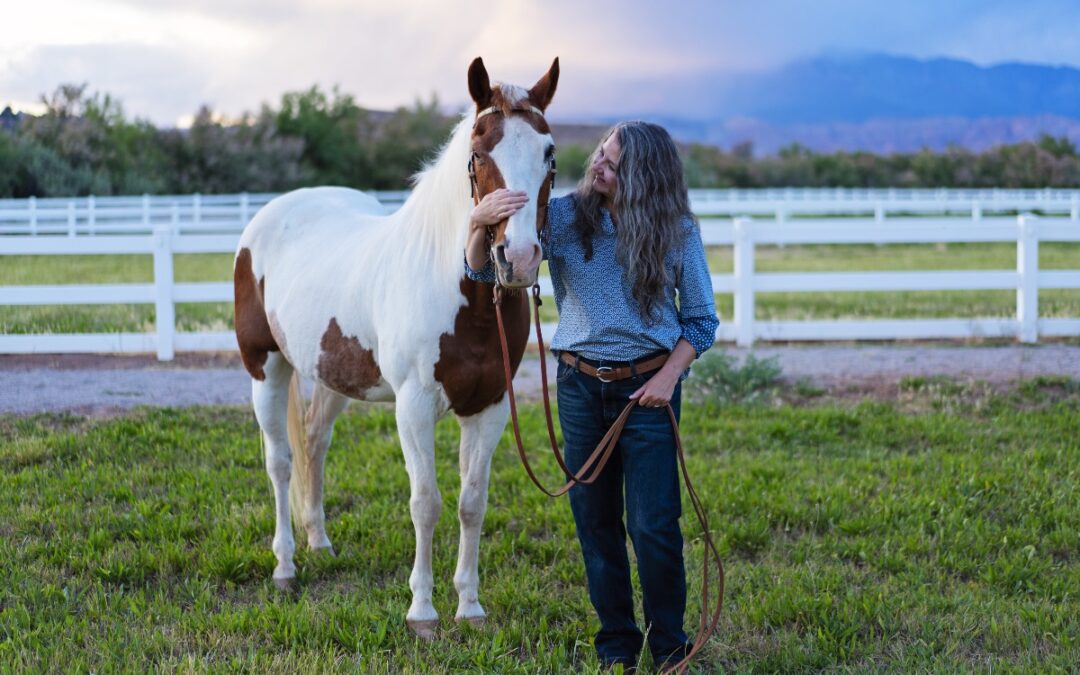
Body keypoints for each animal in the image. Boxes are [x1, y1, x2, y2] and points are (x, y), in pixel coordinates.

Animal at [232, 57, 558, 639]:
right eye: (480, 153)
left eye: (549, 153)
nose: (517, 258)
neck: (464, 297)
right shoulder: (414, 406)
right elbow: (425, 503)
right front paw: (422, 612)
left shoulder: (491, 407)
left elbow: (472, 502)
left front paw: (470, 606)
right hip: (266, 369)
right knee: (281, 462)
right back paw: (286, 566)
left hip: (336, 374)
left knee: (314, 442)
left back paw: (320, 543)